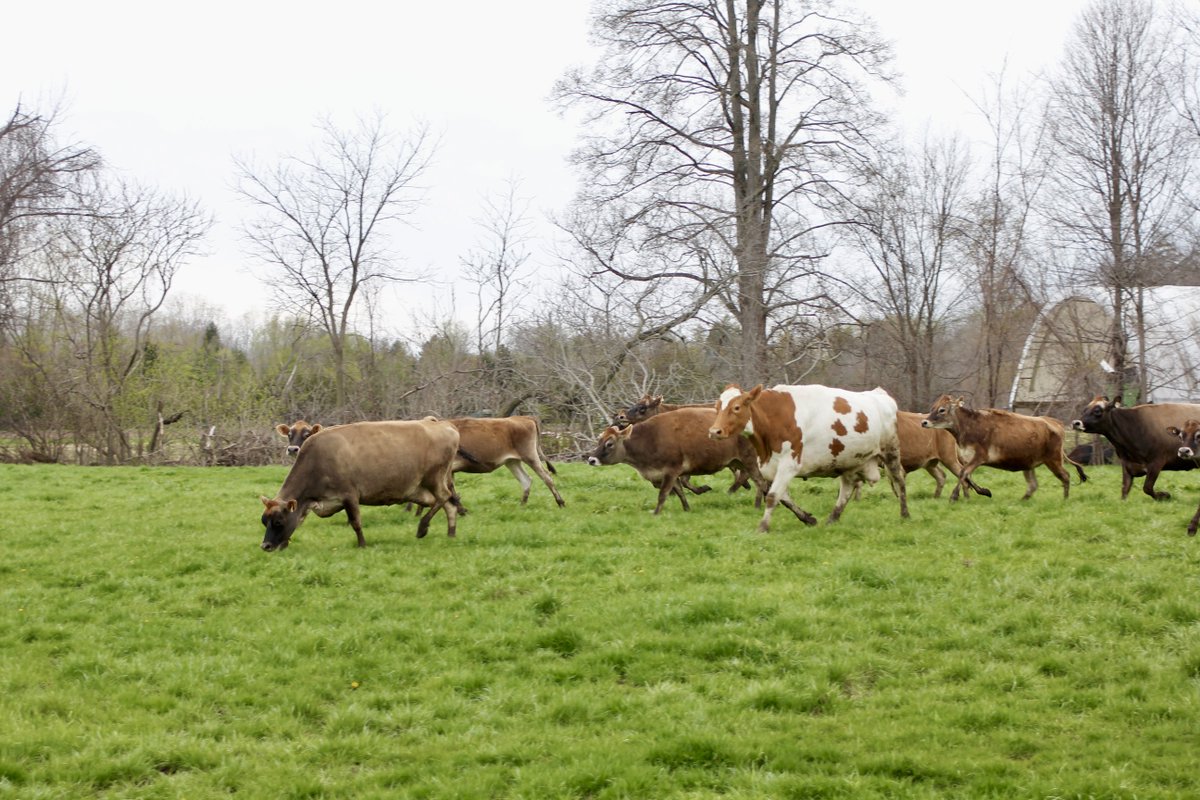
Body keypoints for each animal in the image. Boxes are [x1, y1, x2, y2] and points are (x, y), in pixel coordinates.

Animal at [259, 419, 461, 550]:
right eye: (264, 521)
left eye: (278, 521)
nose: (265, 546)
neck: (317, 459)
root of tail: (445, 425)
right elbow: (298, 521)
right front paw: (285, 544)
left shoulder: (350, 495)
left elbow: (356, 522)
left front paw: (362, 545)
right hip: (422, 488)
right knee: (448, 504)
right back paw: (451, 533)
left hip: (434, 477)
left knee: (444, 497)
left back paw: (422, 527)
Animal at [586, 406, 805, 519]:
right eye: (599, 440)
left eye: (609, 443)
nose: (591, 458)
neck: (649, 439)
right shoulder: (670, 473)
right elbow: (680, 492)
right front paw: (687, 509)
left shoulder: (671, 470)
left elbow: (664, 495)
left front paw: (656, 513)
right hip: (743, 462)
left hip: (750, 461)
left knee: (761, 483)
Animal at [708, 383, 909, 532]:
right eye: (717, 407)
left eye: (736, 407)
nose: (714, 431)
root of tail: (880, 395)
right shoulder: (770, 468)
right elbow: (782, 497)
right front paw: (808, 519)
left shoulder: (789, 464)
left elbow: (772, 496)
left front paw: (762, 527)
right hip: (850, 460)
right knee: (847, 488)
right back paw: (832, 519)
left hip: (890, 451)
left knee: (899, 482)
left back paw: (905, 514)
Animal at [922, 395, 1083, 500]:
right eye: (933, 408)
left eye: (942, 410)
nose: (924, 422)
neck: (969, 427)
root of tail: (1055, 422)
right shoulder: (966, 459)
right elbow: (966, 475)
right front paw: (985, 491)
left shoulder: (979, 457)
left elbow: (963, 473)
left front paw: (954, 496)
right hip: (1029, 463)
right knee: (1033, 485)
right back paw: (1023, 500)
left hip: (1053, 459)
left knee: (1065, 476)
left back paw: (1065, 499)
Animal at [1071, 396, 1200, 500]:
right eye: (1084, 409)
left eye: (1097, 410)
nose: (1076, 423)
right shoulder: (1127, 464)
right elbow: (1125, 489)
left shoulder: (1156, 462)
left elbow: (1147, 488)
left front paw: (1164, 495)